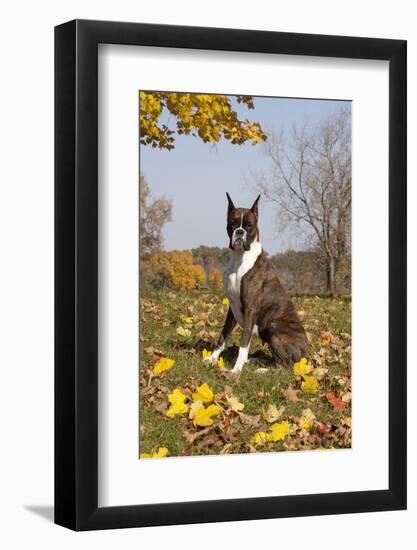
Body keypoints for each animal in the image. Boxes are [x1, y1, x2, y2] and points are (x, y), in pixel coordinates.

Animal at [203, 193, 308, 376]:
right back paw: (254, 360)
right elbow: (222, 336)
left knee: (285, 367)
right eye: (233, 223)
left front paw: (236, 369)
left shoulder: (250, 309)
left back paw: (261, 369)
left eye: (249, 225)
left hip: (274, 326)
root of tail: (307, 357)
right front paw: (212, 358)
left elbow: (243, 344)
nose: (239, 232)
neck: (239, 258)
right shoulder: (232, 308)